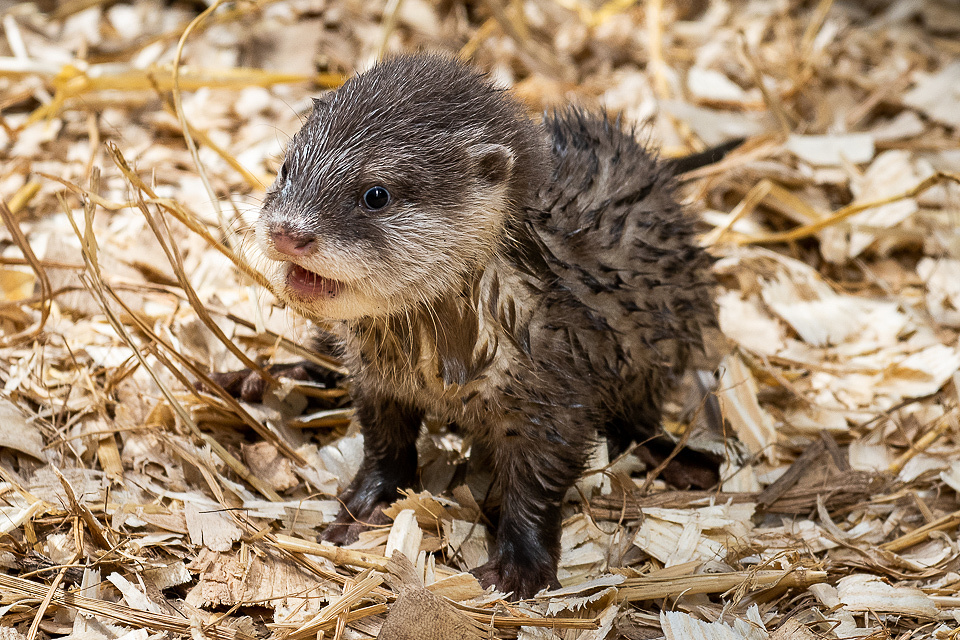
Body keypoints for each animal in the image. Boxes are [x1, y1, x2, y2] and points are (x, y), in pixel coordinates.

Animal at [252, 54, 722, 598]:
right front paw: (363, 506)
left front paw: (519, 567)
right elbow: (383, 443)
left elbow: (536, 485)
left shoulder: (554, 397)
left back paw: (686, 462)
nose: (289, 231)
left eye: (375, 194)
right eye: (286, 167)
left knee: (640, 419)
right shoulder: (376, 379)